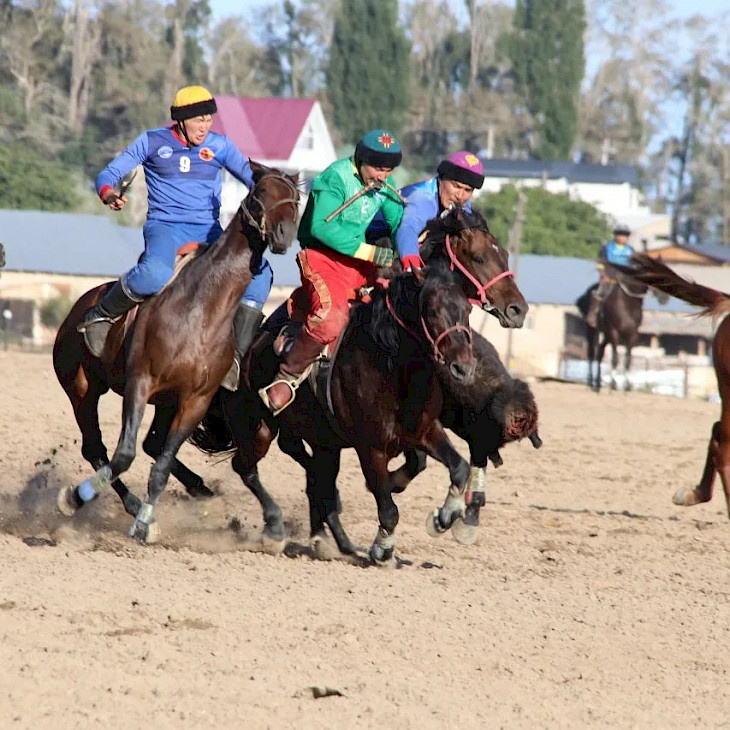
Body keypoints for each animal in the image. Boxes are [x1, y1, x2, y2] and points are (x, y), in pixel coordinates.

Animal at [53, 165, 298, 540]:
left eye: (297, 198)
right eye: (261, 192)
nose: (284, 234)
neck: (201, 310)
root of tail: (78, 308)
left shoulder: (194, 400)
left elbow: (162, 465)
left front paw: (145, 521)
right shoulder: (140, 384)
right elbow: (124, 455)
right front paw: (92, 501)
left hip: (165, 402)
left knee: (150, 448)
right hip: (81, 388)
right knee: (96, 447)